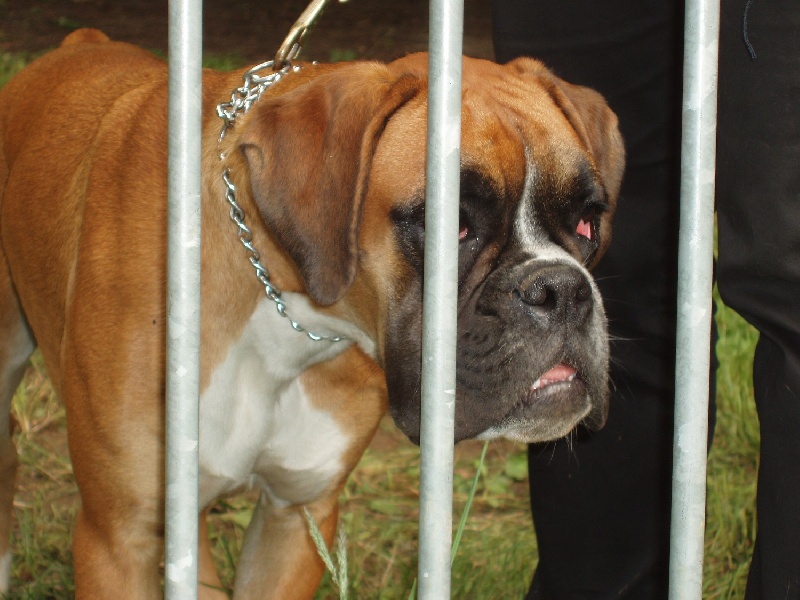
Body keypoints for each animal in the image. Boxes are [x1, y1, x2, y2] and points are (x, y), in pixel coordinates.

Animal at [0, 29, 624, 600]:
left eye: (589, 220)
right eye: (453, 225)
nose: (561, 289)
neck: (284, 312)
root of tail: (79, 41)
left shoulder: (295, 518)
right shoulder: (119, 539)